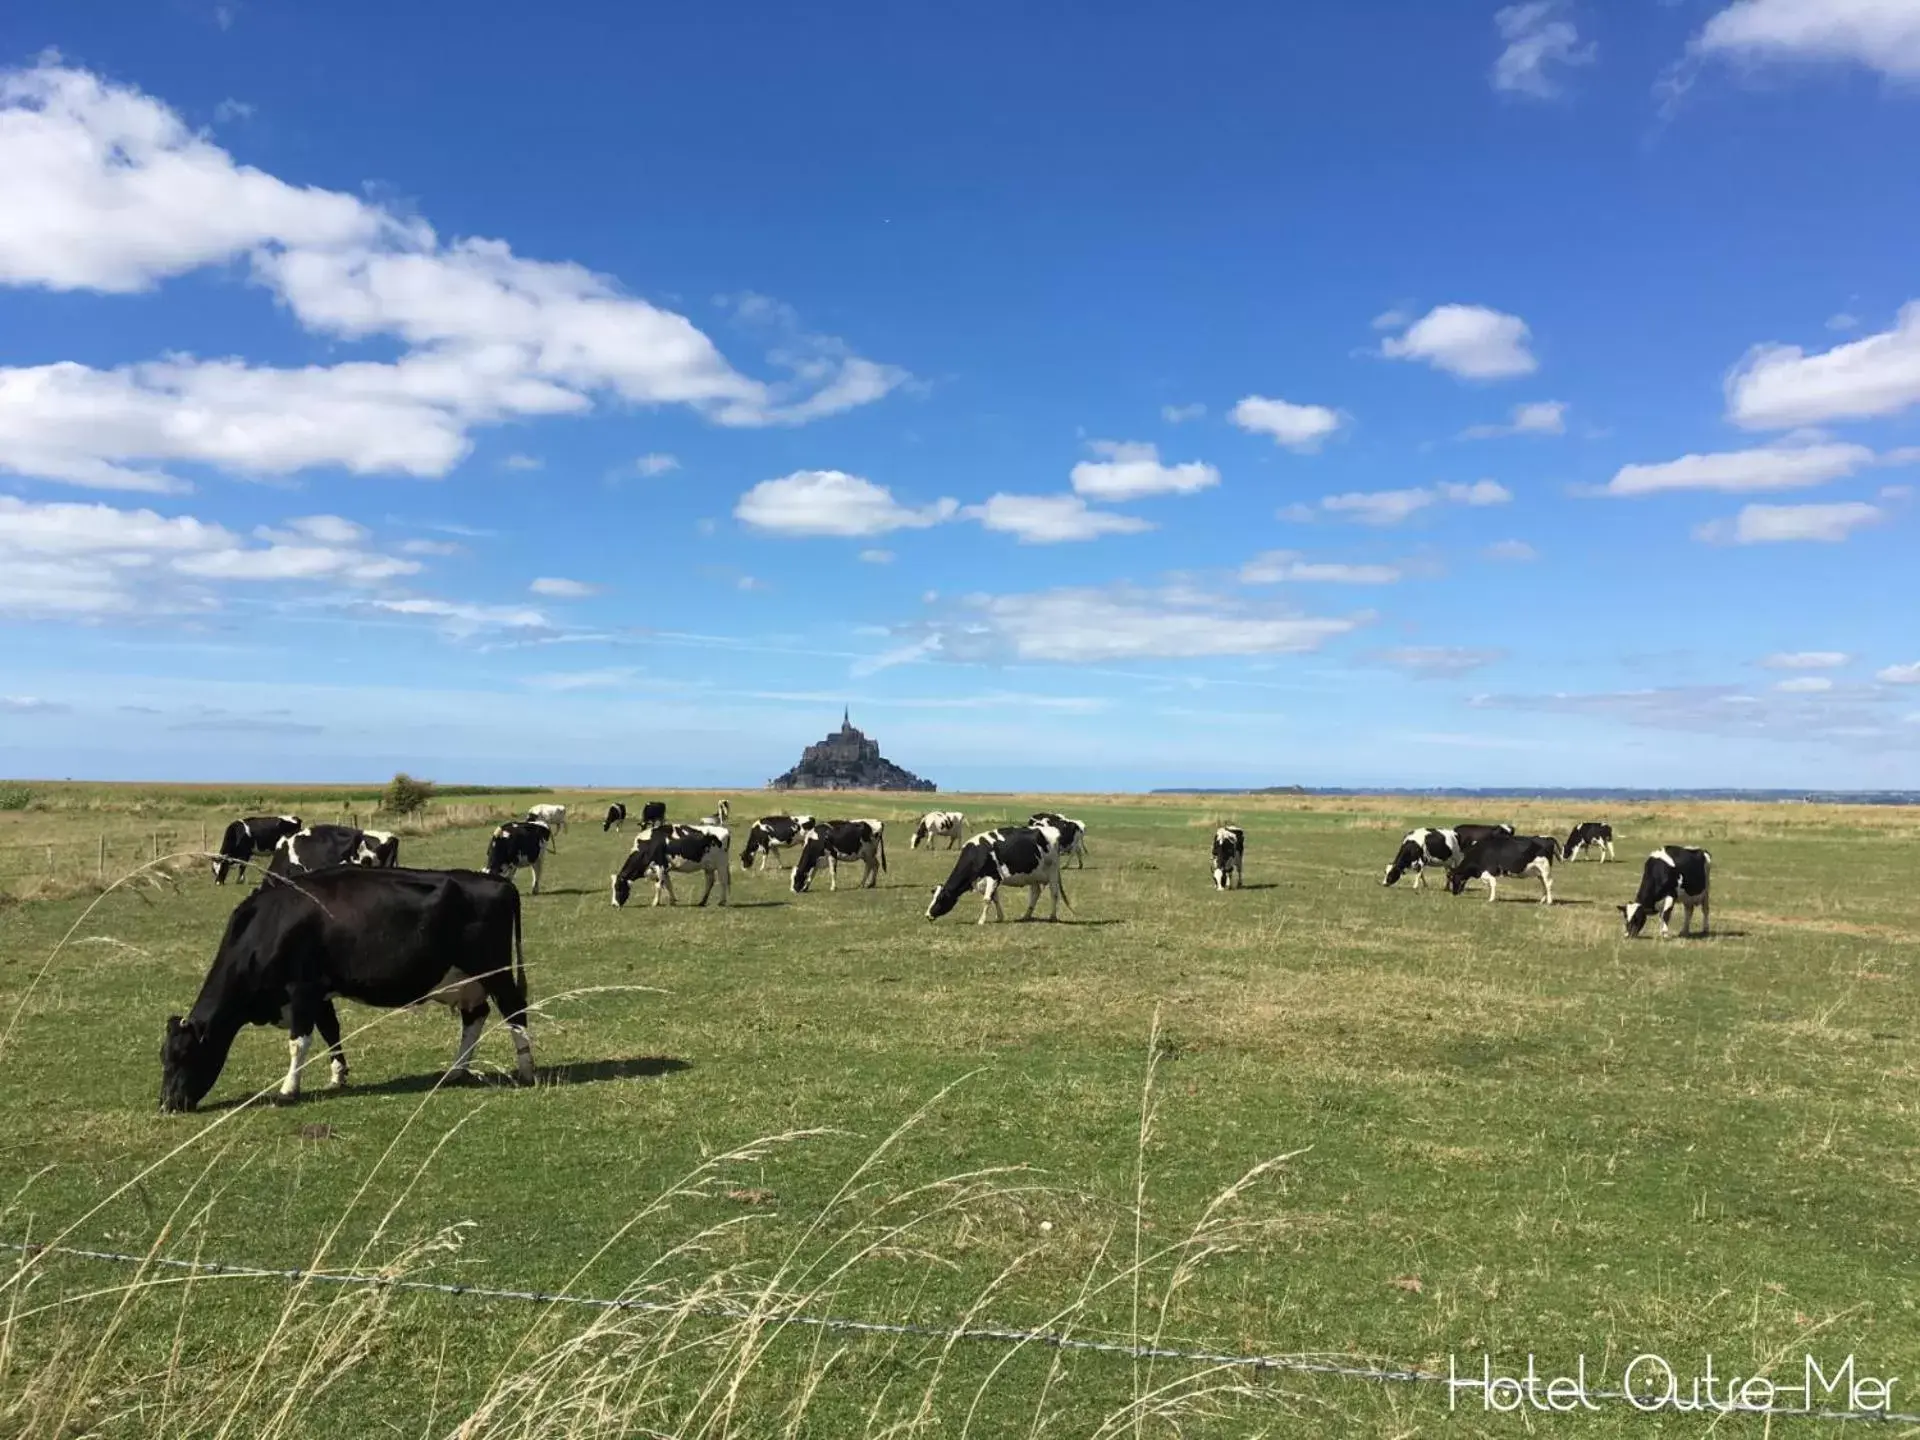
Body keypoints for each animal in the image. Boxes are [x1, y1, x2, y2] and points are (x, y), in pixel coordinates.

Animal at [156, 867, 529, 1113]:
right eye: (163, 1056)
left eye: (183, 1055)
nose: (166, 1104)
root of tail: (498, 881)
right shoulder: (320, 994)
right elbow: (330, 1031)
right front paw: (338, 1076)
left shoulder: (302, 989)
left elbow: (298, 1042)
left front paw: (288, 1090)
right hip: (466, 980)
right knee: (475, 1016)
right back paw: (456, 1071)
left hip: (493, 969)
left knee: (515, 1009)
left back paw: (526, 1068)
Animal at [925, 821, 1075, 925]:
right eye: (933, 897)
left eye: (940, 899)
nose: (927, 915)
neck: (978, 854)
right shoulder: (985, 881)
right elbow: (994, 898)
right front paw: (1000, 917)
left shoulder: (993, 877)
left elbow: (987, 899)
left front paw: (981, 920)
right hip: (1033, 875)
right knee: (1036, 893)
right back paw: (1026, 915)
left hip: (1052, 872)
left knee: (1054, 893)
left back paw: (1052, 917)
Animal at [1382, 821, 1512, 890]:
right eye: (1385, 872)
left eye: (1391, 873)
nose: (1384, 883)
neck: (1412, 844)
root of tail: (1455, 832)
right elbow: (1422, 874)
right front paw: (1425, 885)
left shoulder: (1421, 861)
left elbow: (1419, 874)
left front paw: (1415, 886)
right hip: (1447, 862)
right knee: (1449, 873)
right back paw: (1446, 887)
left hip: (1457, 858)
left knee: (1455, 872)